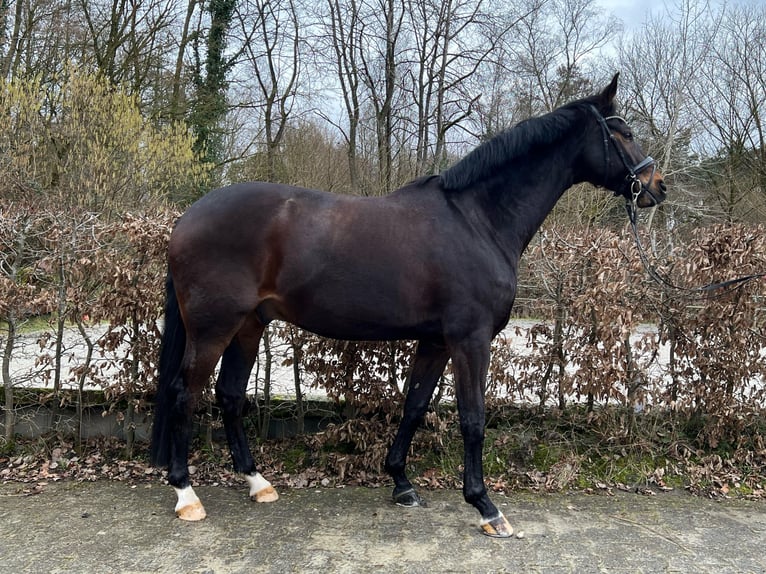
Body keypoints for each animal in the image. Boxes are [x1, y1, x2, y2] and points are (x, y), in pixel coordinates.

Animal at [150, 73, 666, 538]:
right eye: (623, 132)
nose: (656, 185)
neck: (478, 220)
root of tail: (187, 218)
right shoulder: (470, 340)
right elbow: (472, 418)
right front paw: (485, 506)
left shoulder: (436, 341)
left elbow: (415, 406)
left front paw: (401, 482)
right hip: (213, 328)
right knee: (184, 394)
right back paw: (187, 494)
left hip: (249, 325)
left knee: (230, 395)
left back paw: (257, 483)